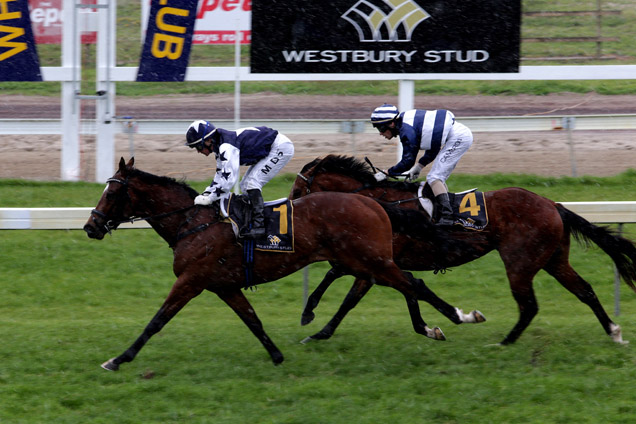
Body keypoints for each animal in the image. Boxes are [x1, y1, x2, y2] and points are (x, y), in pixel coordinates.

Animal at [82, 157, 476, 370]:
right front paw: (276, 355)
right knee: (403, 282)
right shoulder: (223, 285)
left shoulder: (191, 280)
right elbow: (252, 320)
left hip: (371, 259)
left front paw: (119, 358)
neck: (191, 222)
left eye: (112, 192)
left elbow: (157, 321)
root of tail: (374, 202)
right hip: (365, 260)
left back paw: (460, 316)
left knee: (414, 283)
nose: (90, 226)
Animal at [290, 155, 636, 344]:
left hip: (520, 262)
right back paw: (614, 332)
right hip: (554, 259)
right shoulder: (376, 261)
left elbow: (348, 292)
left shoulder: (378, 260)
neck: (381, 203)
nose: (288, 209)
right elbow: (349, 287)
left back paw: (504, 343)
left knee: (529, 305)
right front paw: (315, 326)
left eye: (296, 189)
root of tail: (553, 204)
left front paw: (312, 319)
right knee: (584, 290)